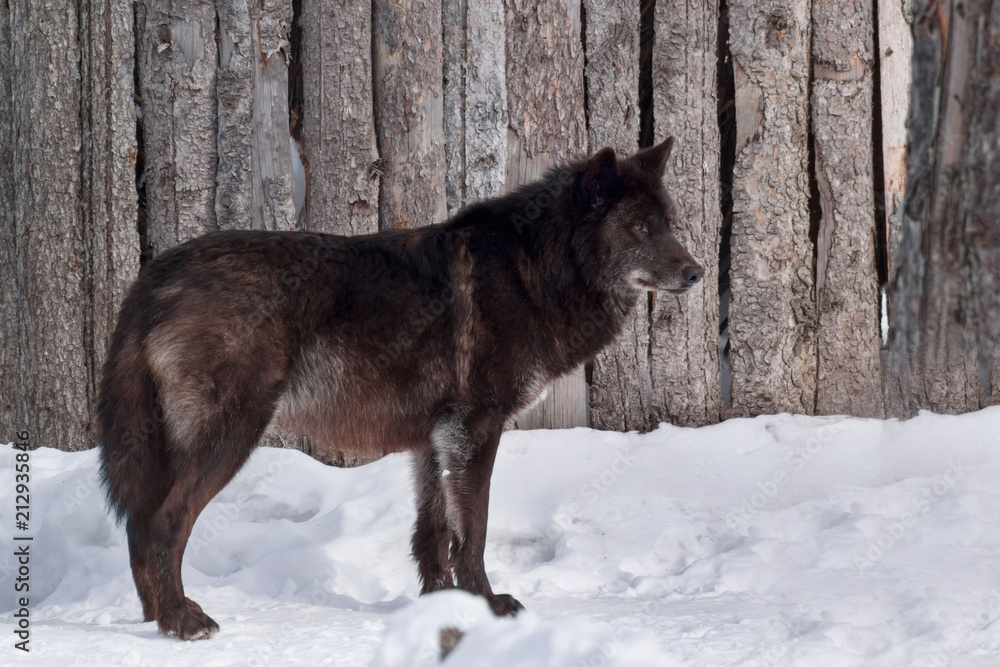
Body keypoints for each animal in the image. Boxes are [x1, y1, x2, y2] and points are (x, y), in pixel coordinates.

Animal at [98, 138, 702, 639]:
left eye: (669, 223)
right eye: (640, 229)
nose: (696, 273)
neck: (535, 268)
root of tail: (157, 272)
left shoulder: (435, 438)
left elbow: (433, 533)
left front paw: (442, 607)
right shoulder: (475, 428)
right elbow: (474, 530)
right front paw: (488, 605)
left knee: (138, 523)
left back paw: (155, 618)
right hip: (230, 435)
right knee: (163, 522)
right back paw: (183, 620)